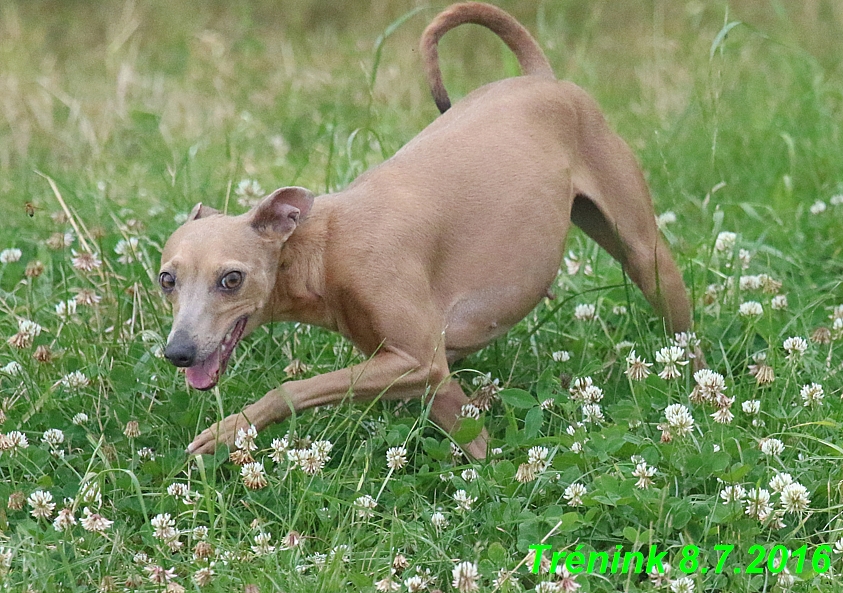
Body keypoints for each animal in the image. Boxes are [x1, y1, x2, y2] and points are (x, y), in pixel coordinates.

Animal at [158, 1, 692, 458]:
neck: (326, 249)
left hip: (647, 258)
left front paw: (229, 429)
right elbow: (479, 450)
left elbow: (292, 387)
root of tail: (541, 77)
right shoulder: (425, 375)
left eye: (232, 278)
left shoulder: (417, 358)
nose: (177, 353)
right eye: (167, 280)